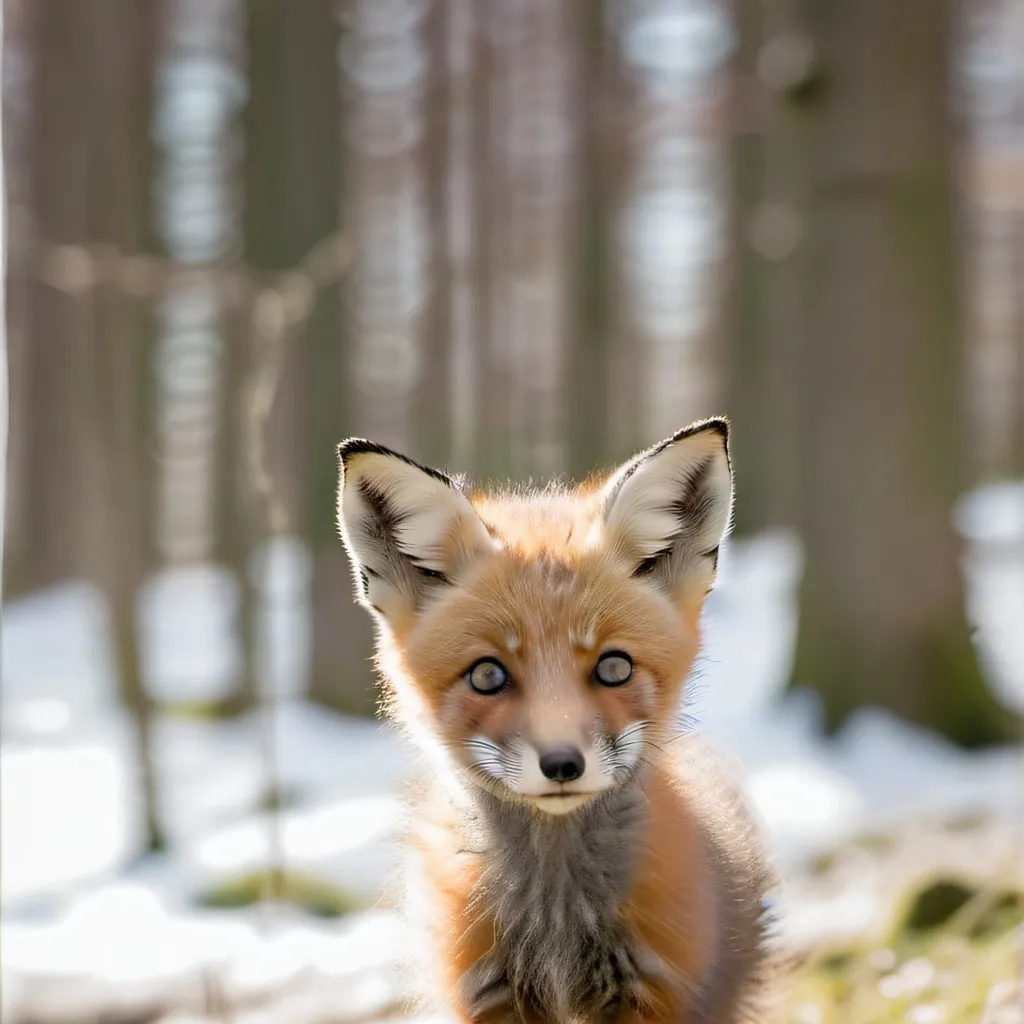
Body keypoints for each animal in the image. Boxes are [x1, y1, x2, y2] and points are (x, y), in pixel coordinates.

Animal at [335, 419, 781, 1023]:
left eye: (614, 667)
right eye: (487, 675)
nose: (563, 765)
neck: (556, 922)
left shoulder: (655, 994)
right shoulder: (486, 999)